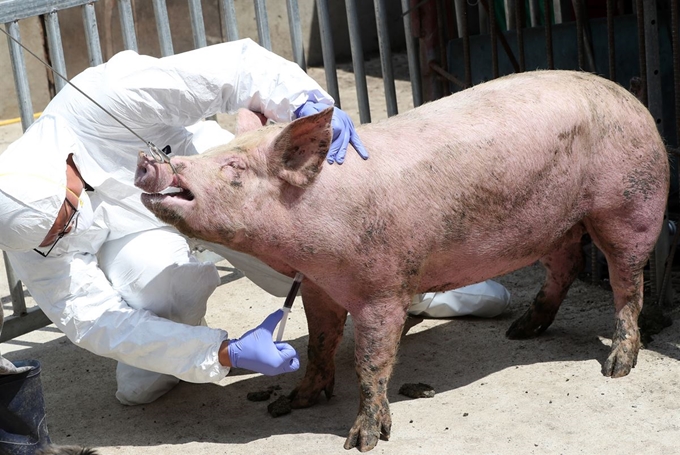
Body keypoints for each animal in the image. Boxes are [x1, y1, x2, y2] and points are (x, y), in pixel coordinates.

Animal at [134, 70, 668, 452]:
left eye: (234, 168)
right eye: (222, 149)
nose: (151, 161)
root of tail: (630, 95)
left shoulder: (383, 285)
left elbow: (371, 359)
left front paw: (363, 440)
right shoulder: (319, 285)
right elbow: (321, 342)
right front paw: (291, 402)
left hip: (630, 202)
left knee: (628, 280)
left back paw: (617, 367)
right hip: (556, 221)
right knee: (565, 265)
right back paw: (520, 331)